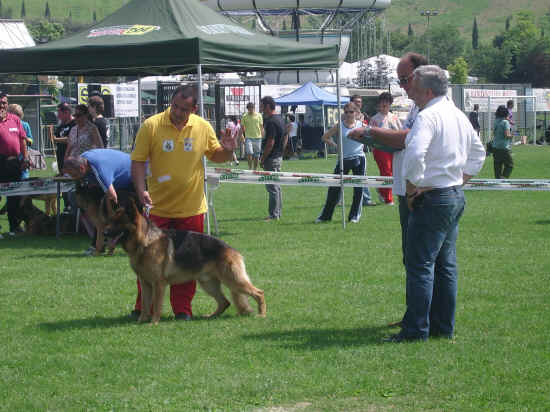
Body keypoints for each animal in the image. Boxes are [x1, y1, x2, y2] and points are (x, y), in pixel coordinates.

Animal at [103, 195, 270, 324]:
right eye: (110, 221)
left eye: (118, 222)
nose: (104, 233)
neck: (145, 241)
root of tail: (232, 250)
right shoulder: (145, 284)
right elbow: (145, 305)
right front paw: (140, 321)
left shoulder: (158, 284)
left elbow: (156, 306)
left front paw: (153, 323)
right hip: (208, 284)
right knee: (225, 302)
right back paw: (210, 316)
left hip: (233, 281)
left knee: (259, 293)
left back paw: (262, 314)